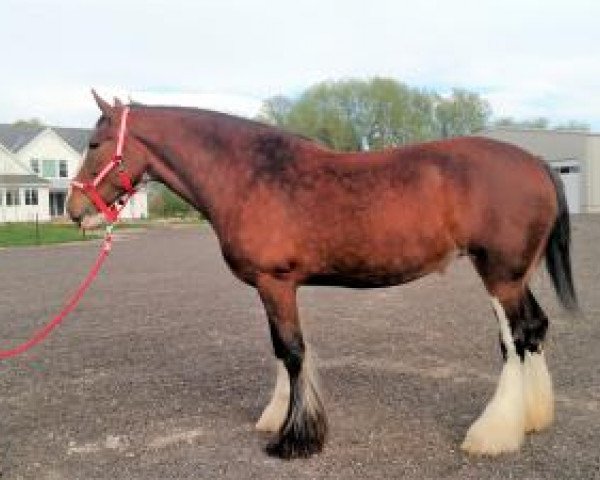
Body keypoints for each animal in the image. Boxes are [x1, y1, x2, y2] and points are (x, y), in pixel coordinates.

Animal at [65, 92, 576, 460]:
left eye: (94, 144)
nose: (74, 209)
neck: (249, 174)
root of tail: (536, 162)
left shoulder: (275, 282)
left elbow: (293, 352)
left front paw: (295, 439)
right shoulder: (274, 287)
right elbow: (281, 349)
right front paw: (278, 417)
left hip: (500, 275)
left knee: (514, 339)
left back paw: (493, 434)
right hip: (517, 276)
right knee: (534, 329)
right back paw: (533, 418)